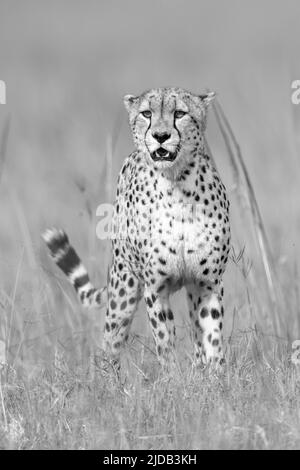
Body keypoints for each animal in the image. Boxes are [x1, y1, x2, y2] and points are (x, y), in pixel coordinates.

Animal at [42, 87, 230, 370]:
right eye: (147, 114)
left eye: (179, 113)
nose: (160, 136)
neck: (177, 184)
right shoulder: (156, 287)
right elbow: (165, 342)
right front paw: (173, 377)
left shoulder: (206, 284)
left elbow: (211, 338)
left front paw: (216, 377)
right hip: (124, 287)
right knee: (111, 341)